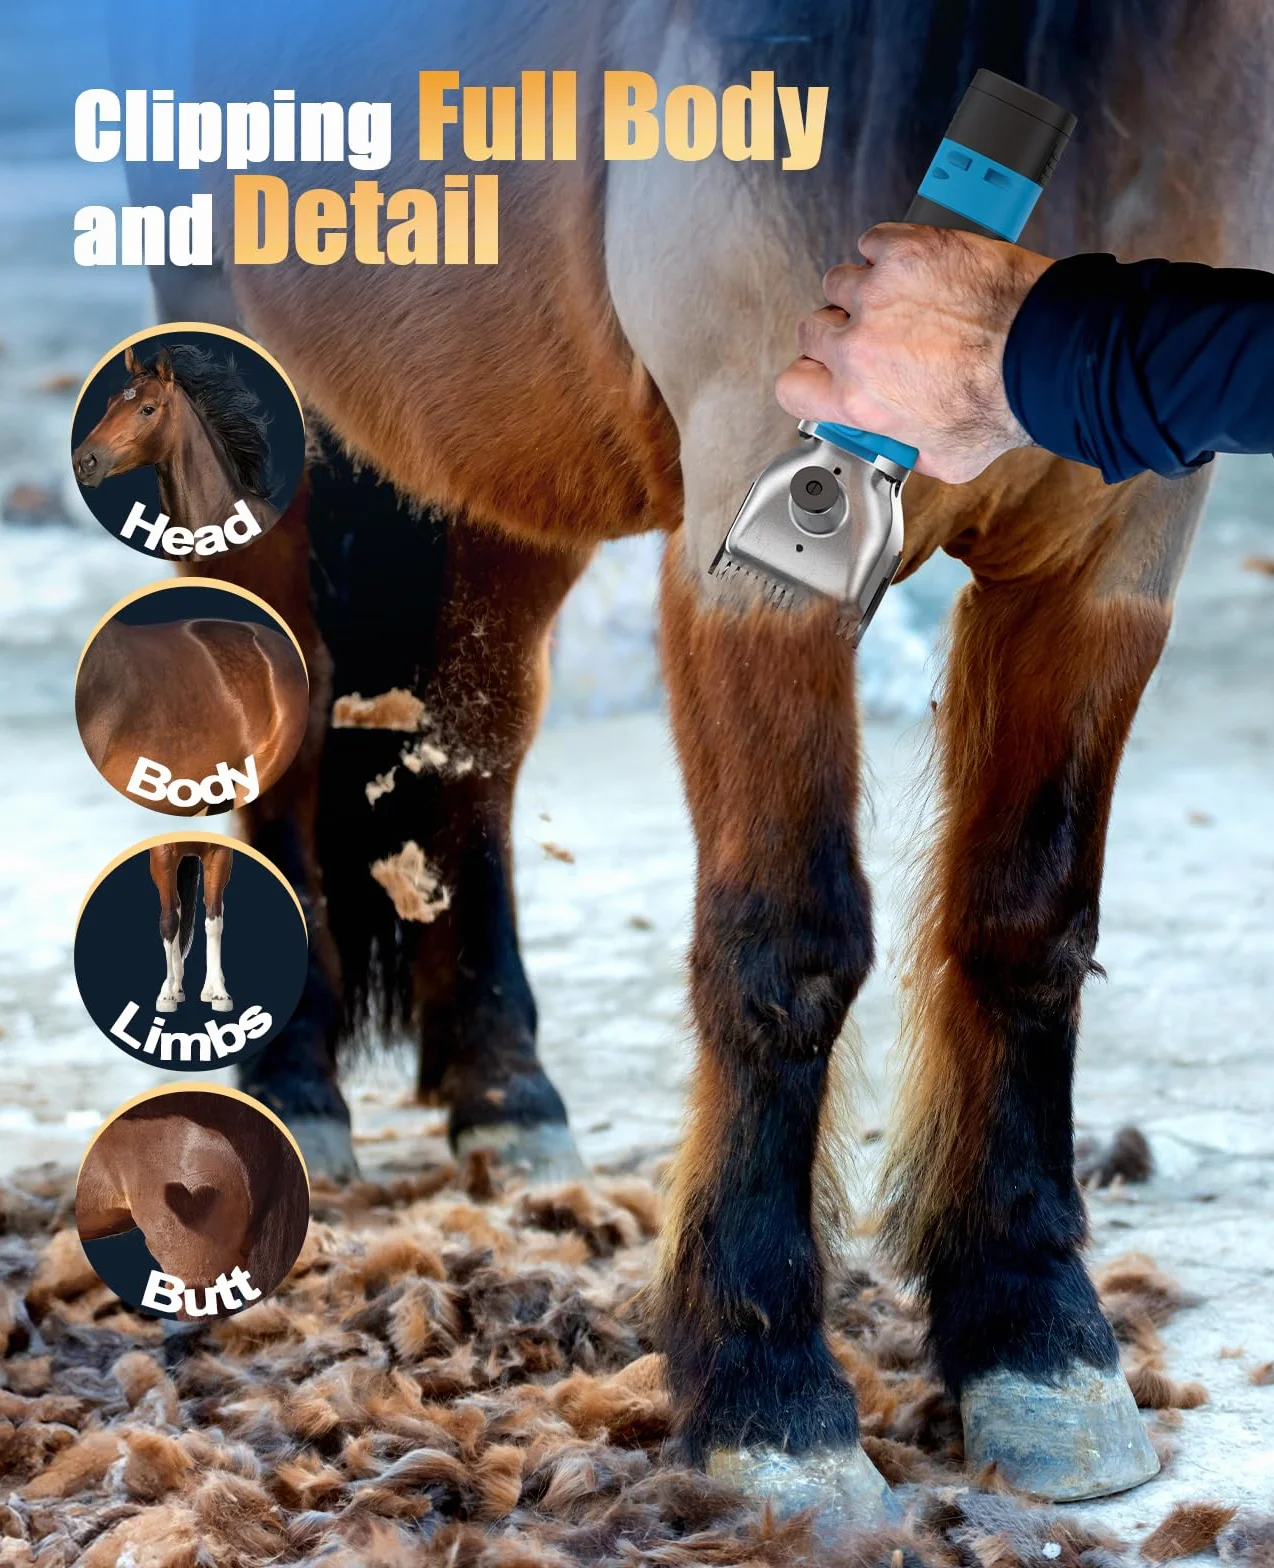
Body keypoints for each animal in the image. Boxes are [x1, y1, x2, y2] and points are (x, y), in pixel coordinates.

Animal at [148, 841, 235, 1013]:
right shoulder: (163, 853)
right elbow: (169, 922)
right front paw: (166, 994)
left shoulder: (219, 851)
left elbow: (214, 922)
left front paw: (220, 993)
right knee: (177, 910)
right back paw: (175, 987)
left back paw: (209, 988)